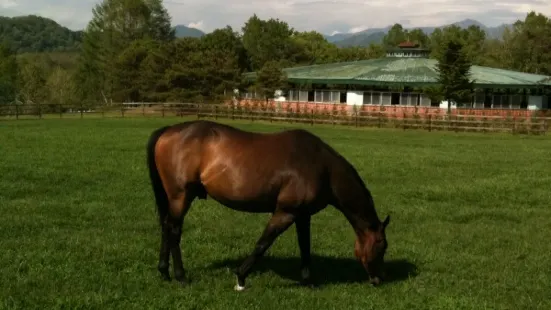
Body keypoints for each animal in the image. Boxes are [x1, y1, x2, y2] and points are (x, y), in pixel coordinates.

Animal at [144, 120, 390, 290]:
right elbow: (263, 244)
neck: (322, 168)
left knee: (166, 227)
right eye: (382, 246)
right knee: (174, 231)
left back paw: (164, 272)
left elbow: (305, 247)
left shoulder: (302, 215)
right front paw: (241, 278)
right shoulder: (285, 213)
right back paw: (181, 276)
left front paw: (308, 281)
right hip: (181, 197)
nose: (378, 279)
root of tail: (169, 131)